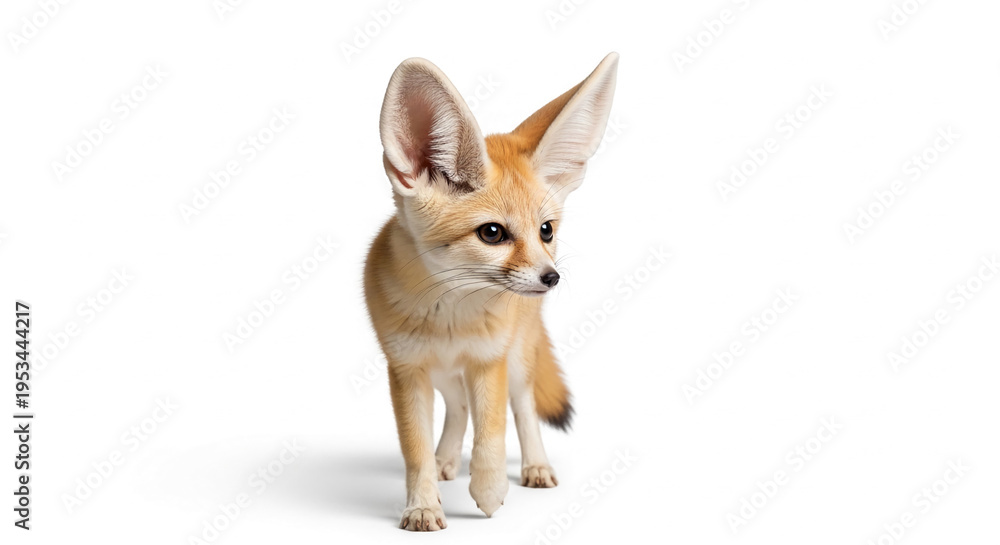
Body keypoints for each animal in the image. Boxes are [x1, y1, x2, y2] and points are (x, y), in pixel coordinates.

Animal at [363, 53, 619, 531]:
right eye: (493, 233)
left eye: (546, 230)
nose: (551, 277)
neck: (450, 319)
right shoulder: (406, 370)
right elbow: (415, 450)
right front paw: (423, 504)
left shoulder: (489, 360)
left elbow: (492, 435)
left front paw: (489, 490)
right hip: (444, 376)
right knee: (459, 408)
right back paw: (446, 460)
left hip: (516, 363)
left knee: (523, 409)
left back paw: (535, 466)